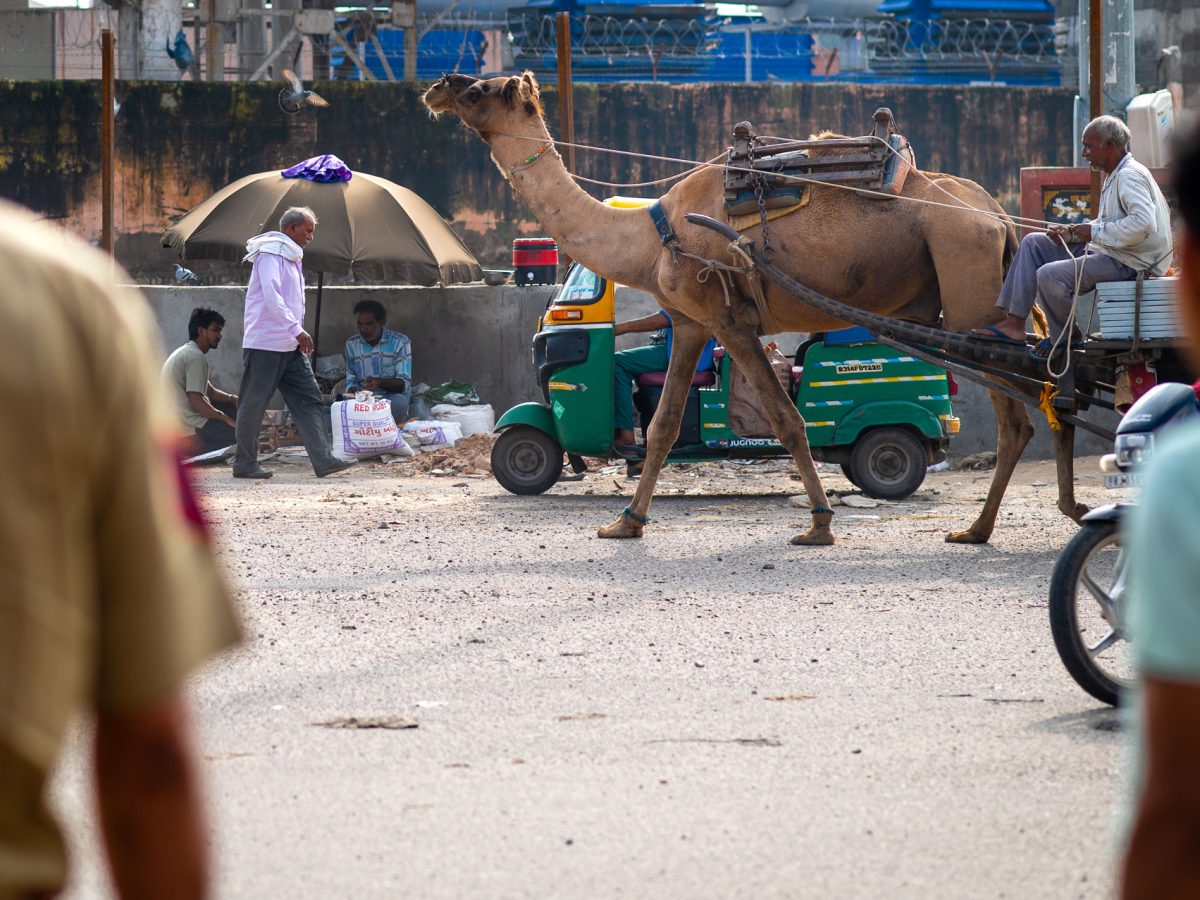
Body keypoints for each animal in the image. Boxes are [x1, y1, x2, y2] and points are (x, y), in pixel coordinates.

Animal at [424, 70, 1089, 547]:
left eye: (480, 89)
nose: (438, 86)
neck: (650, 233)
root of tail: (997, 216)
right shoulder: (692, 322)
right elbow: (664, 426)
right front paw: (625, 522)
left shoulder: (730, 320)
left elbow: (787, 420)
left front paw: (819, 523)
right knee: (1052, 391)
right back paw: (1054, 510)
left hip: (968, 286)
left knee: (1019, 415)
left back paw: (986, 527)